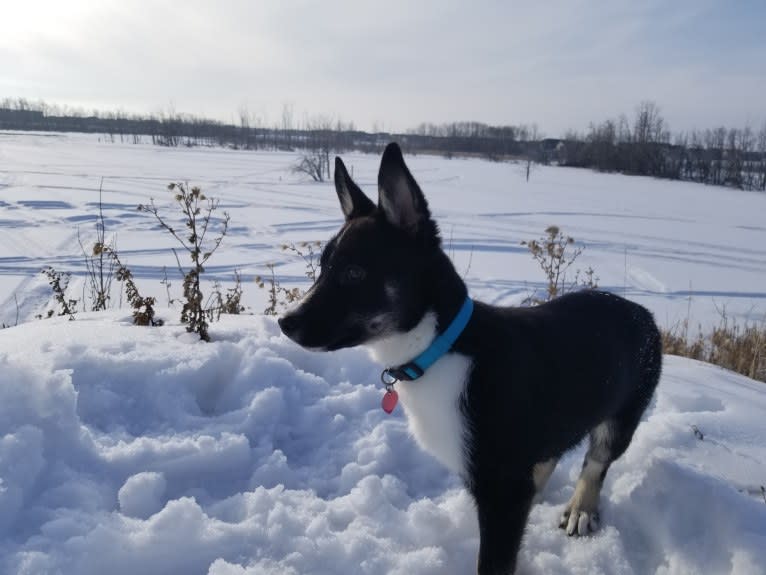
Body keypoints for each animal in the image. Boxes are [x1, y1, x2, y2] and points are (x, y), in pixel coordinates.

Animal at [280, 144, 664, 575]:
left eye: (354, 273)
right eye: (324, 267)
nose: (285, 323)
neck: (439, 347)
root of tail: (642, 312)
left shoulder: (503, 491)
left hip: (624, 413)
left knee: (597, 461)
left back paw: (581, 507)